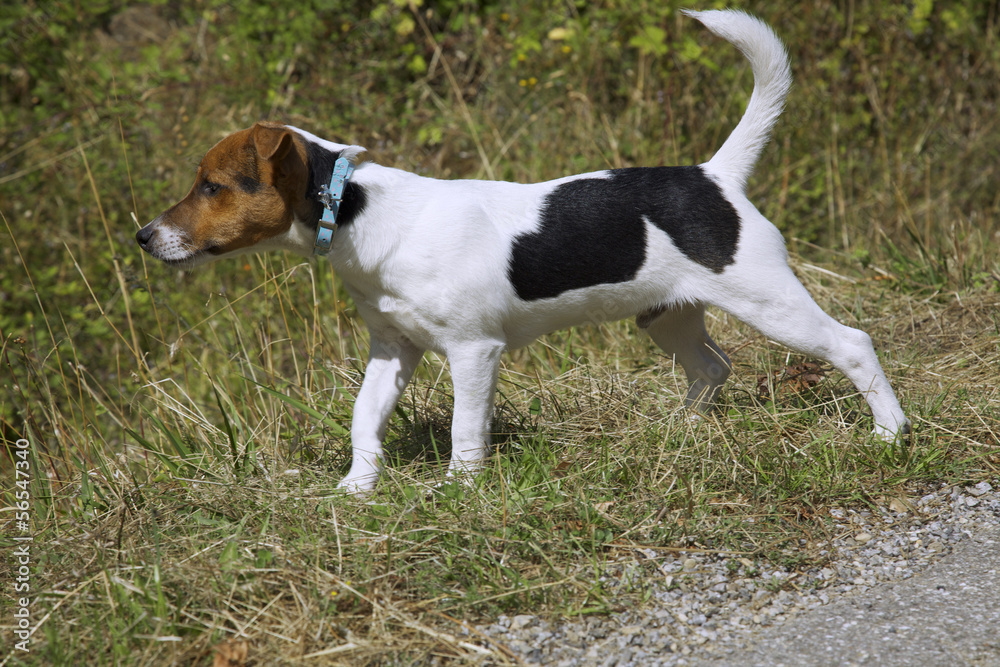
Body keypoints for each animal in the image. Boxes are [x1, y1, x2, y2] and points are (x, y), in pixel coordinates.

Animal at [137, 7, 912, 494]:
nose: (143, 236)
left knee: (852, 343)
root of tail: (713, 174)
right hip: (666, 315)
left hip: (769, 300)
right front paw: (355, 487)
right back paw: (683, 431)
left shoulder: (473, 351)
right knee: (712, 366)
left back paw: (890, 433)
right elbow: (364, 418)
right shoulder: (392, 351)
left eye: (210, 186)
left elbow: (465, 430)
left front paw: (458, 490)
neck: (357, 214)